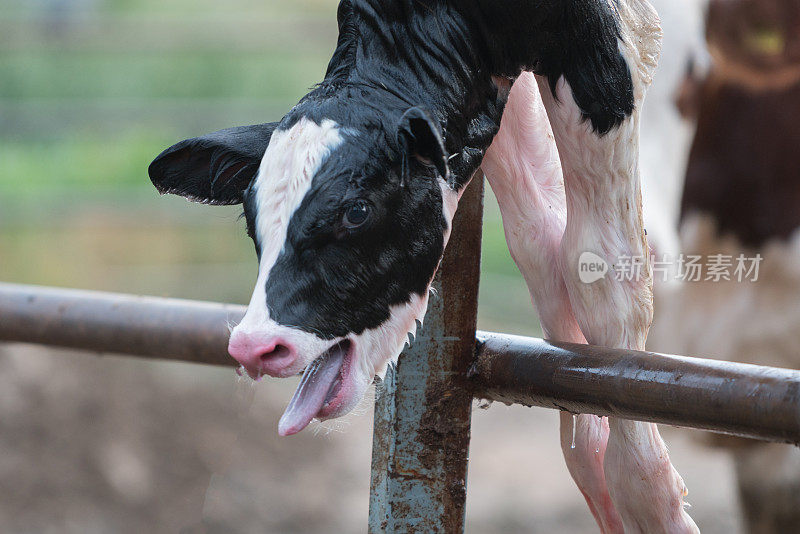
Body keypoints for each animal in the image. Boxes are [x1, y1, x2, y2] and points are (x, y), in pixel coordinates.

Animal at [152, 2, 700, 532]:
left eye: (356, 211)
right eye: (251, 217)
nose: (255, 346)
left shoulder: (605, 45)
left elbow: (601, 266)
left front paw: (650, 501)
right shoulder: (498, 77)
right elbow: (540, 238)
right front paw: (591, 459)